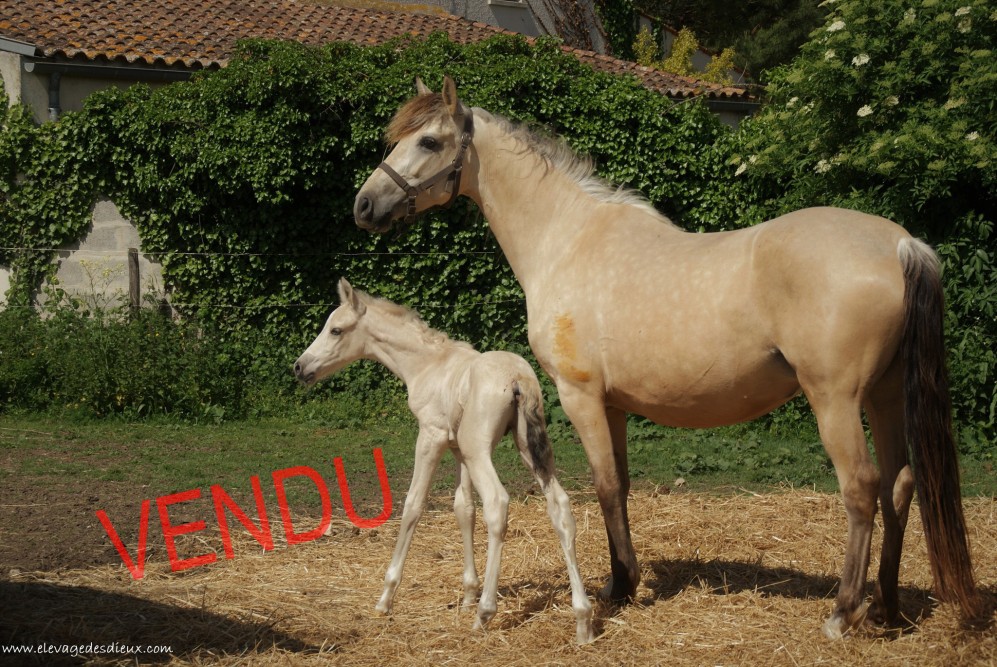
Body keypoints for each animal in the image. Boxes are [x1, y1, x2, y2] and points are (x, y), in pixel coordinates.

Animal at [294, 280, 592, 644]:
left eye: (336, 330)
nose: (300, 367)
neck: (428, 365)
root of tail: (517, 379)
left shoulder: (432, 436)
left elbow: (414, 505)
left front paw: (386, 598)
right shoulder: (458, 449)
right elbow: (464, 509)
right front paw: (467, 594)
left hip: (481, 451)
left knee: (497, 503)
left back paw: (486, 613)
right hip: (528, 447)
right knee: (560, 506)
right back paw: (583, 619)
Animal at [350, 75, 980, 640]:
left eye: (429, 141)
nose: (364, 204)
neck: (567, 239)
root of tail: (899, 243)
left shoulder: (580, 396)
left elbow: (603, 486)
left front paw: (615, 589)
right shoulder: (616, 406)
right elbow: (622, 486)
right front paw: (624, 581)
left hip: (837, 400)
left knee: (863, 489)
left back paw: (843, 613)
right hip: (884, 396)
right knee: (900, 484)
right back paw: (886, 610)